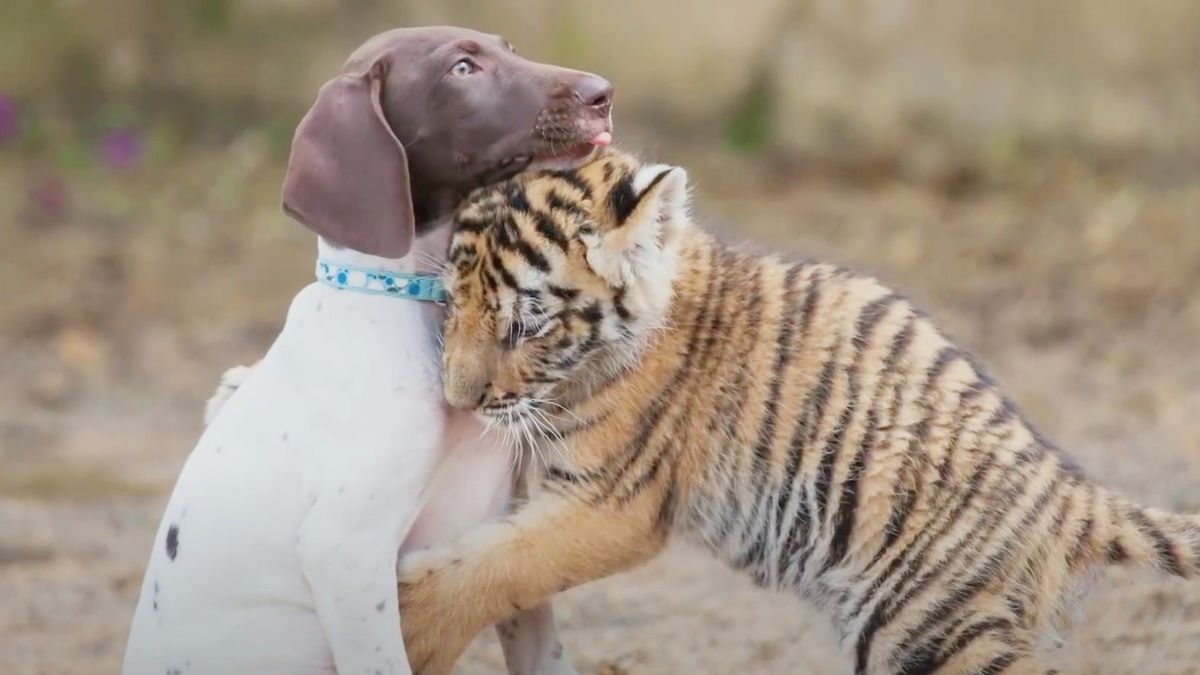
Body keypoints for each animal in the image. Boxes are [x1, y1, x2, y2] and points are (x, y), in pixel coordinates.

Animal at [124, 24, 609, 672]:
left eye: (508, 48)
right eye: (461, 69)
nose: (603, 92)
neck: (416, 302)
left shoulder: (503, 533)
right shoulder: (346, 552)